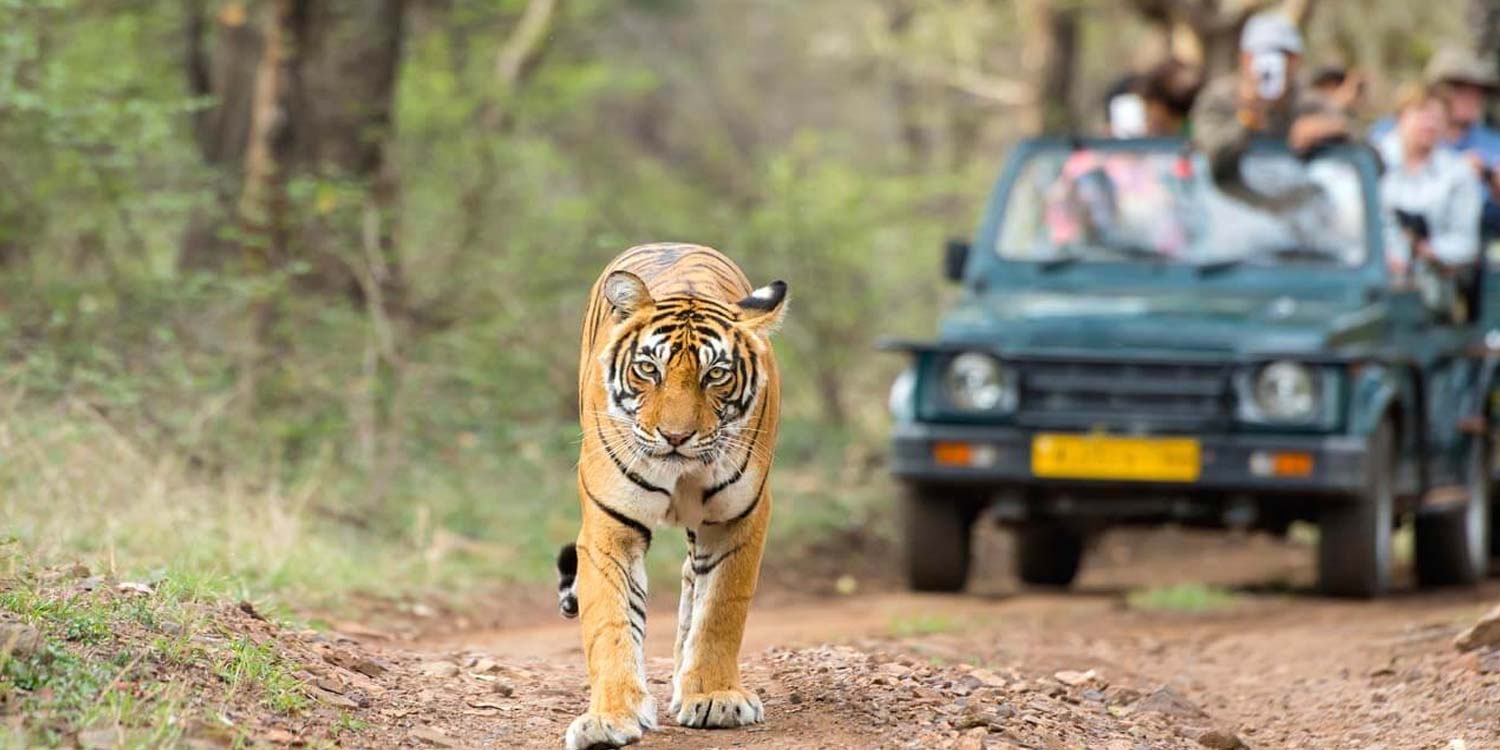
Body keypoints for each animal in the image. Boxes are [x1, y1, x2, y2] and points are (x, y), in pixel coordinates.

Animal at [555, 242, 786, 750]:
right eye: (649, 369)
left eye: (715, 375)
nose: (675, 437)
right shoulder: (610, 525)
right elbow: (611, 621)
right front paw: (609, 717)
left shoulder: (738, 519)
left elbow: (720, 609)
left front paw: (716, 696)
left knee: (692, 583)